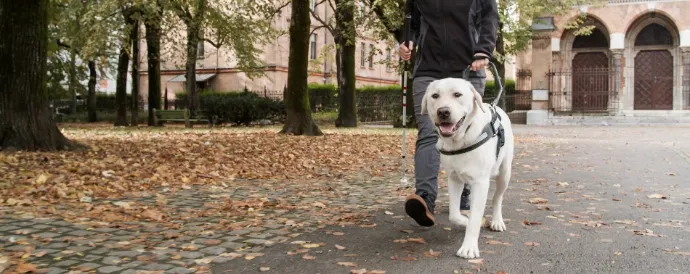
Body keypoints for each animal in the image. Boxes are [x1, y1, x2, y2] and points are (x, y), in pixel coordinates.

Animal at [420, 76, 510, 260]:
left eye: (457, 94)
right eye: (434, 95)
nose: (443, 111)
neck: (460, 140)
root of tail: (496, 106)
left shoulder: (480, 183)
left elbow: (476, 217)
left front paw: (469, 247)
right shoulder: (454, 179)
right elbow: (454, 215)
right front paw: (465, 221)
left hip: (505, 173)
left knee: (497, 198)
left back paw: (497, 221)